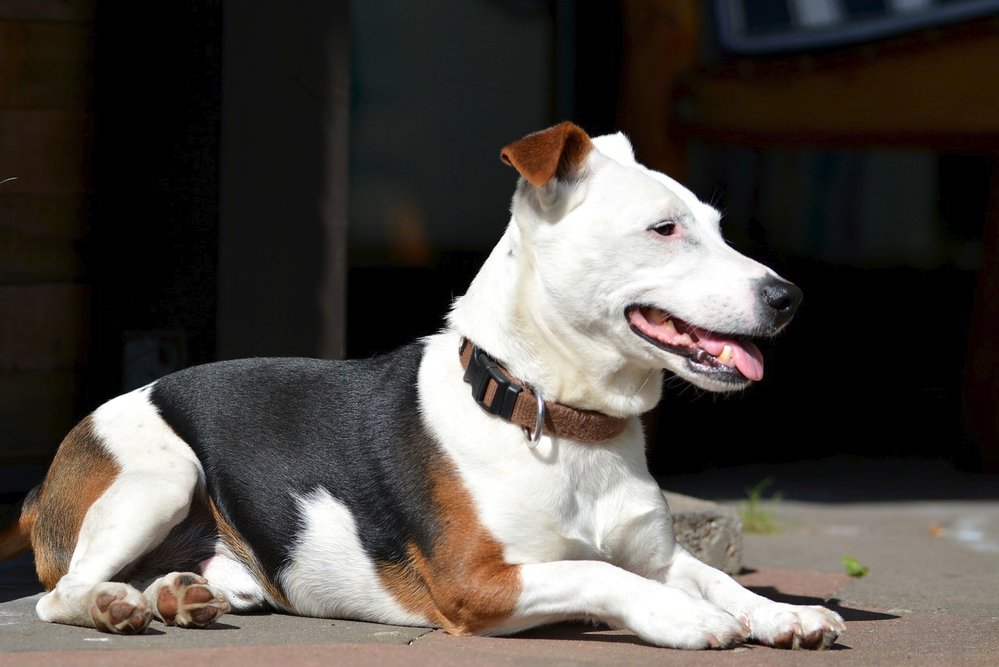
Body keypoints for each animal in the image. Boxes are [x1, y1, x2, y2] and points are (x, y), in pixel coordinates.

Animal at [0, 122, 844, 648]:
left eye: (717, 225)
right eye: (664, 229)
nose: (788, 296)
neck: (554, 417)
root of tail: (41, 485)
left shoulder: (658, 554)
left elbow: (713, 576)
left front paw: (782, 612)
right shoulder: (476, 581)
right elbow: (598, 570)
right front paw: (683, 618)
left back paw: (176, 593)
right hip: (162, 473)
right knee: (58, 592)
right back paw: (116, 604)